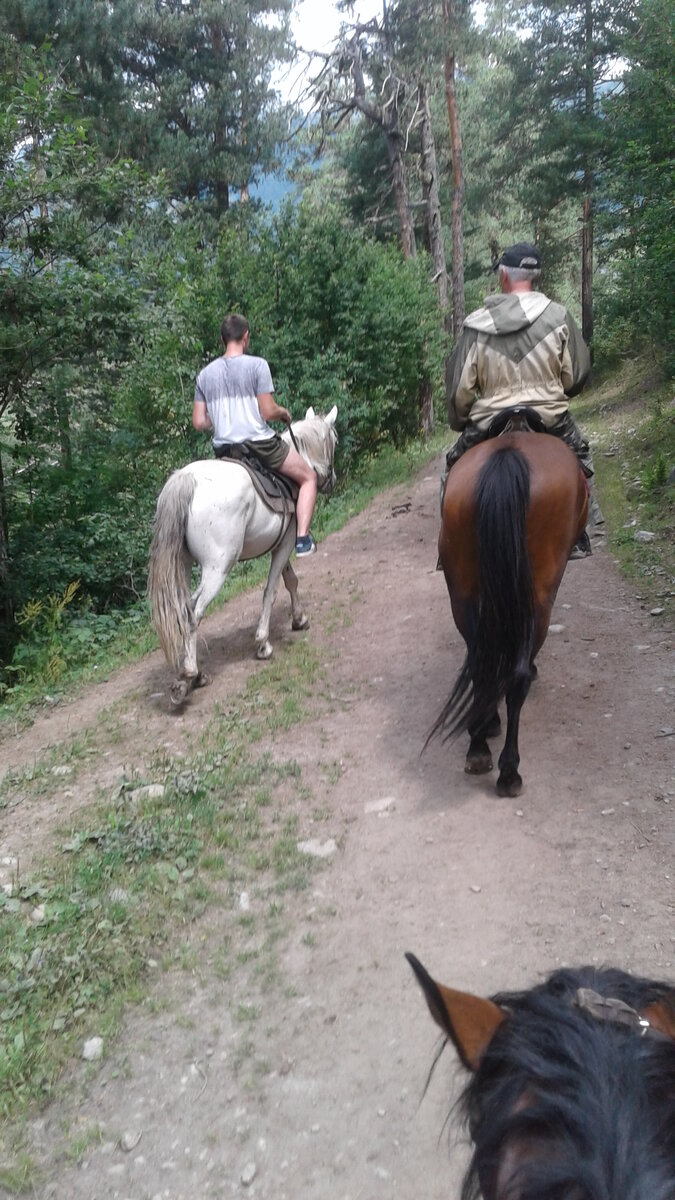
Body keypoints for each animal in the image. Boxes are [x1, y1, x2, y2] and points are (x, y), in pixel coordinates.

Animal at [147, 405, 336, 700]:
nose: (331, 480)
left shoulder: (281, 542)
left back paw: (190, 675)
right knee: (192, 611)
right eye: (333, 442)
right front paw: (263, 643)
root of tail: (187, 480)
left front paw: (299, 619)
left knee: (182, 610)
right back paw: (191, 674)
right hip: (217, 568)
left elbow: (290, 581)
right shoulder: (286, 543)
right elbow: (271, 591)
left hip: (183, 566)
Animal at [429, 424, 583, 796]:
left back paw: (478, 746)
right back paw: (509, 771)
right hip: (539, 595)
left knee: (480, 665)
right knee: (517, 675)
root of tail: (507, 453)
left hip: (463, 592)